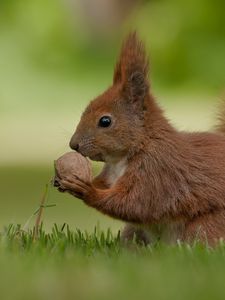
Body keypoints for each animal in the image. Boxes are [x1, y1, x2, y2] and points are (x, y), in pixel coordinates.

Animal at [58, 31, 225, 246]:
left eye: (105, 121)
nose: (74, 144)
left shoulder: (157, 171)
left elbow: (135, 204)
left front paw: (87, 190)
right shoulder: (111, 174)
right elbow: (106, 186)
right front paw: (64, 180)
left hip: (206, 226)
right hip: (134, 232)